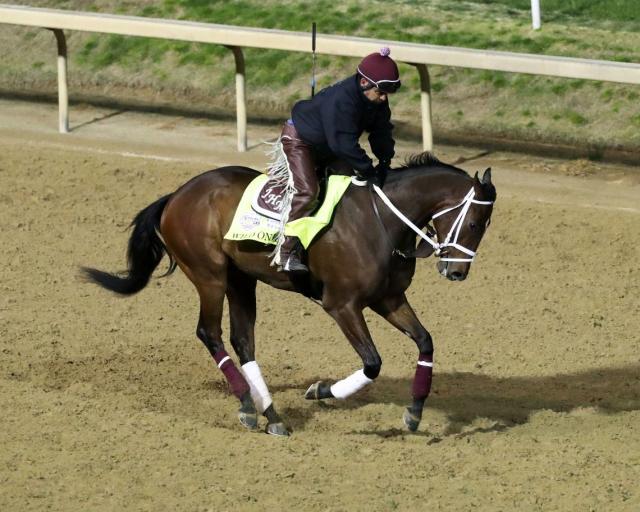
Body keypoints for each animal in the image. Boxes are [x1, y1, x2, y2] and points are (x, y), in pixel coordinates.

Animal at [84, 152, 496, 436]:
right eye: (476, 222)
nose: (457, 272)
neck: (381, 221)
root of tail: (176, 196)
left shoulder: (388, 299)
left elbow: (426, 341)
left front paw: (414, 412)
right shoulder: (342, 305)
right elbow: (372, 363)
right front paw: (320, 390)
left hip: (240, 280)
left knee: (243, 340)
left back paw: (270, 414)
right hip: (209, 275)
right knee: (210, 332)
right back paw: (248, 406)